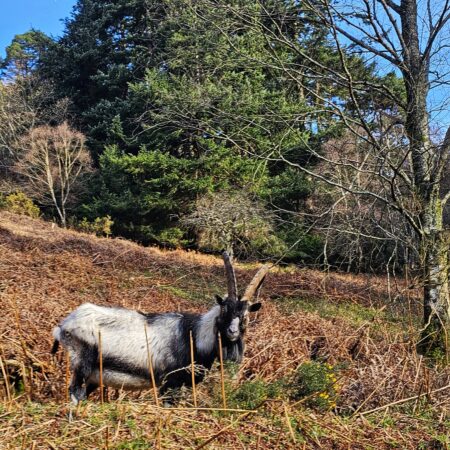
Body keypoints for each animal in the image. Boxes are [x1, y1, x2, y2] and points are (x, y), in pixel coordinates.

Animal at [51, 253, 268, 404]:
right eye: (224, 310)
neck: (194, 336)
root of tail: (64, 325)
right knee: (75, 393)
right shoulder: (169, 384)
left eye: (245, 316)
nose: (232, 333)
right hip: (82, 364)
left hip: (94, 376)